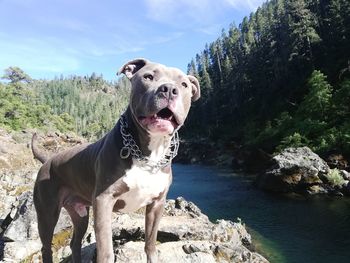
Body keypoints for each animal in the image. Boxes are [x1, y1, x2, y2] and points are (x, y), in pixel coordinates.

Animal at [31, 58, 201, 263]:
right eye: (148, 77)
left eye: (184, 85)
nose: (169, 89)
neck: (148, 155)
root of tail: (47, 161)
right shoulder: (104, 200)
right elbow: (106, 251)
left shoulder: (156, 204)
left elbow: (150, 244)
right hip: (47, 212)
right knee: (46, 247)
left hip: (79, 213)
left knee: (74, 243)